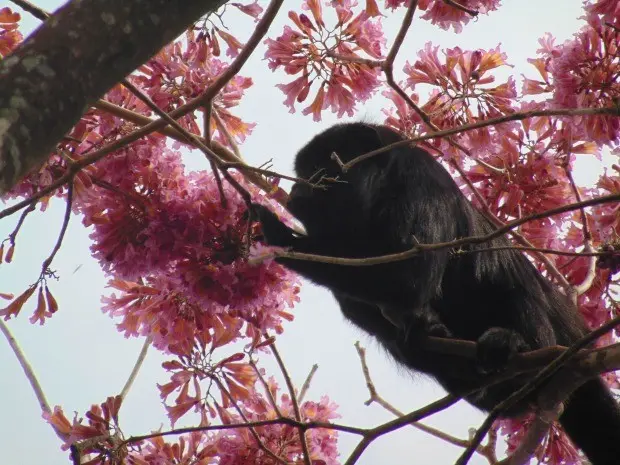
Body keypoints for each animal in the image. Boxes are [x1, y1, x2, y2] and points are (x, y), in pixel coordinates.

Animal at [249, 121, 620, 462]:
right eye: (302, 172)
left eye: (319, 170)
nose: (296, 193)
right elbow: (361, 306)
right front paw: (424, 323)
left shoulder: (421, 186)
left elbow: (407, 279)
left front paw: (275, 232)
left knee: (517, 292)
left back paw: (513, 347)